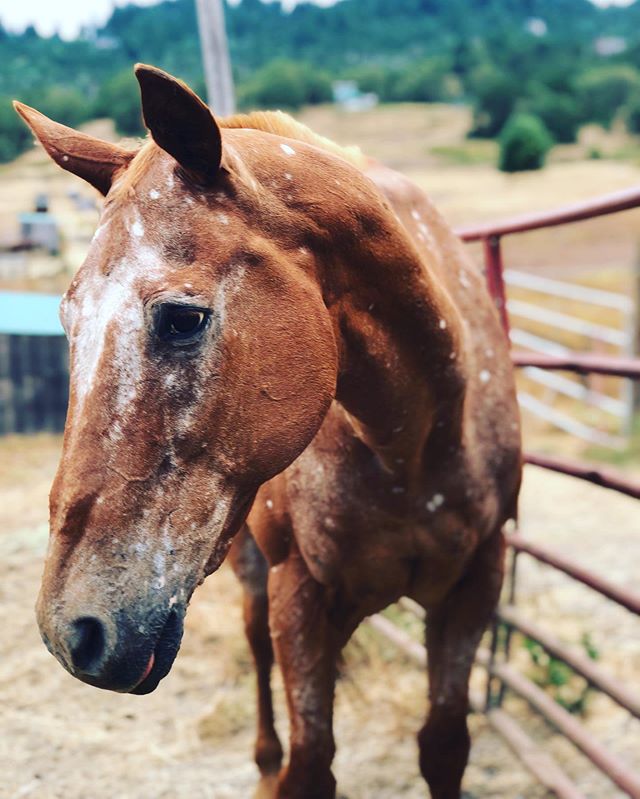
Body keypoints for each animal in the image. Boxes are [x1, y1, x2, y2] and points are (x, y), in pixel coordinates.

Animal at [15, 64, 524, 799]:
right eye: (67, 319)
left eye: (182, 317)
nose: (71, 632)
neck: (411, 446)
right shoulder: (298, 598)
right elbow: (309, 761)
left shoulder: (476, 584)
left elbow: (444, 744)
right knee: (255, 649)